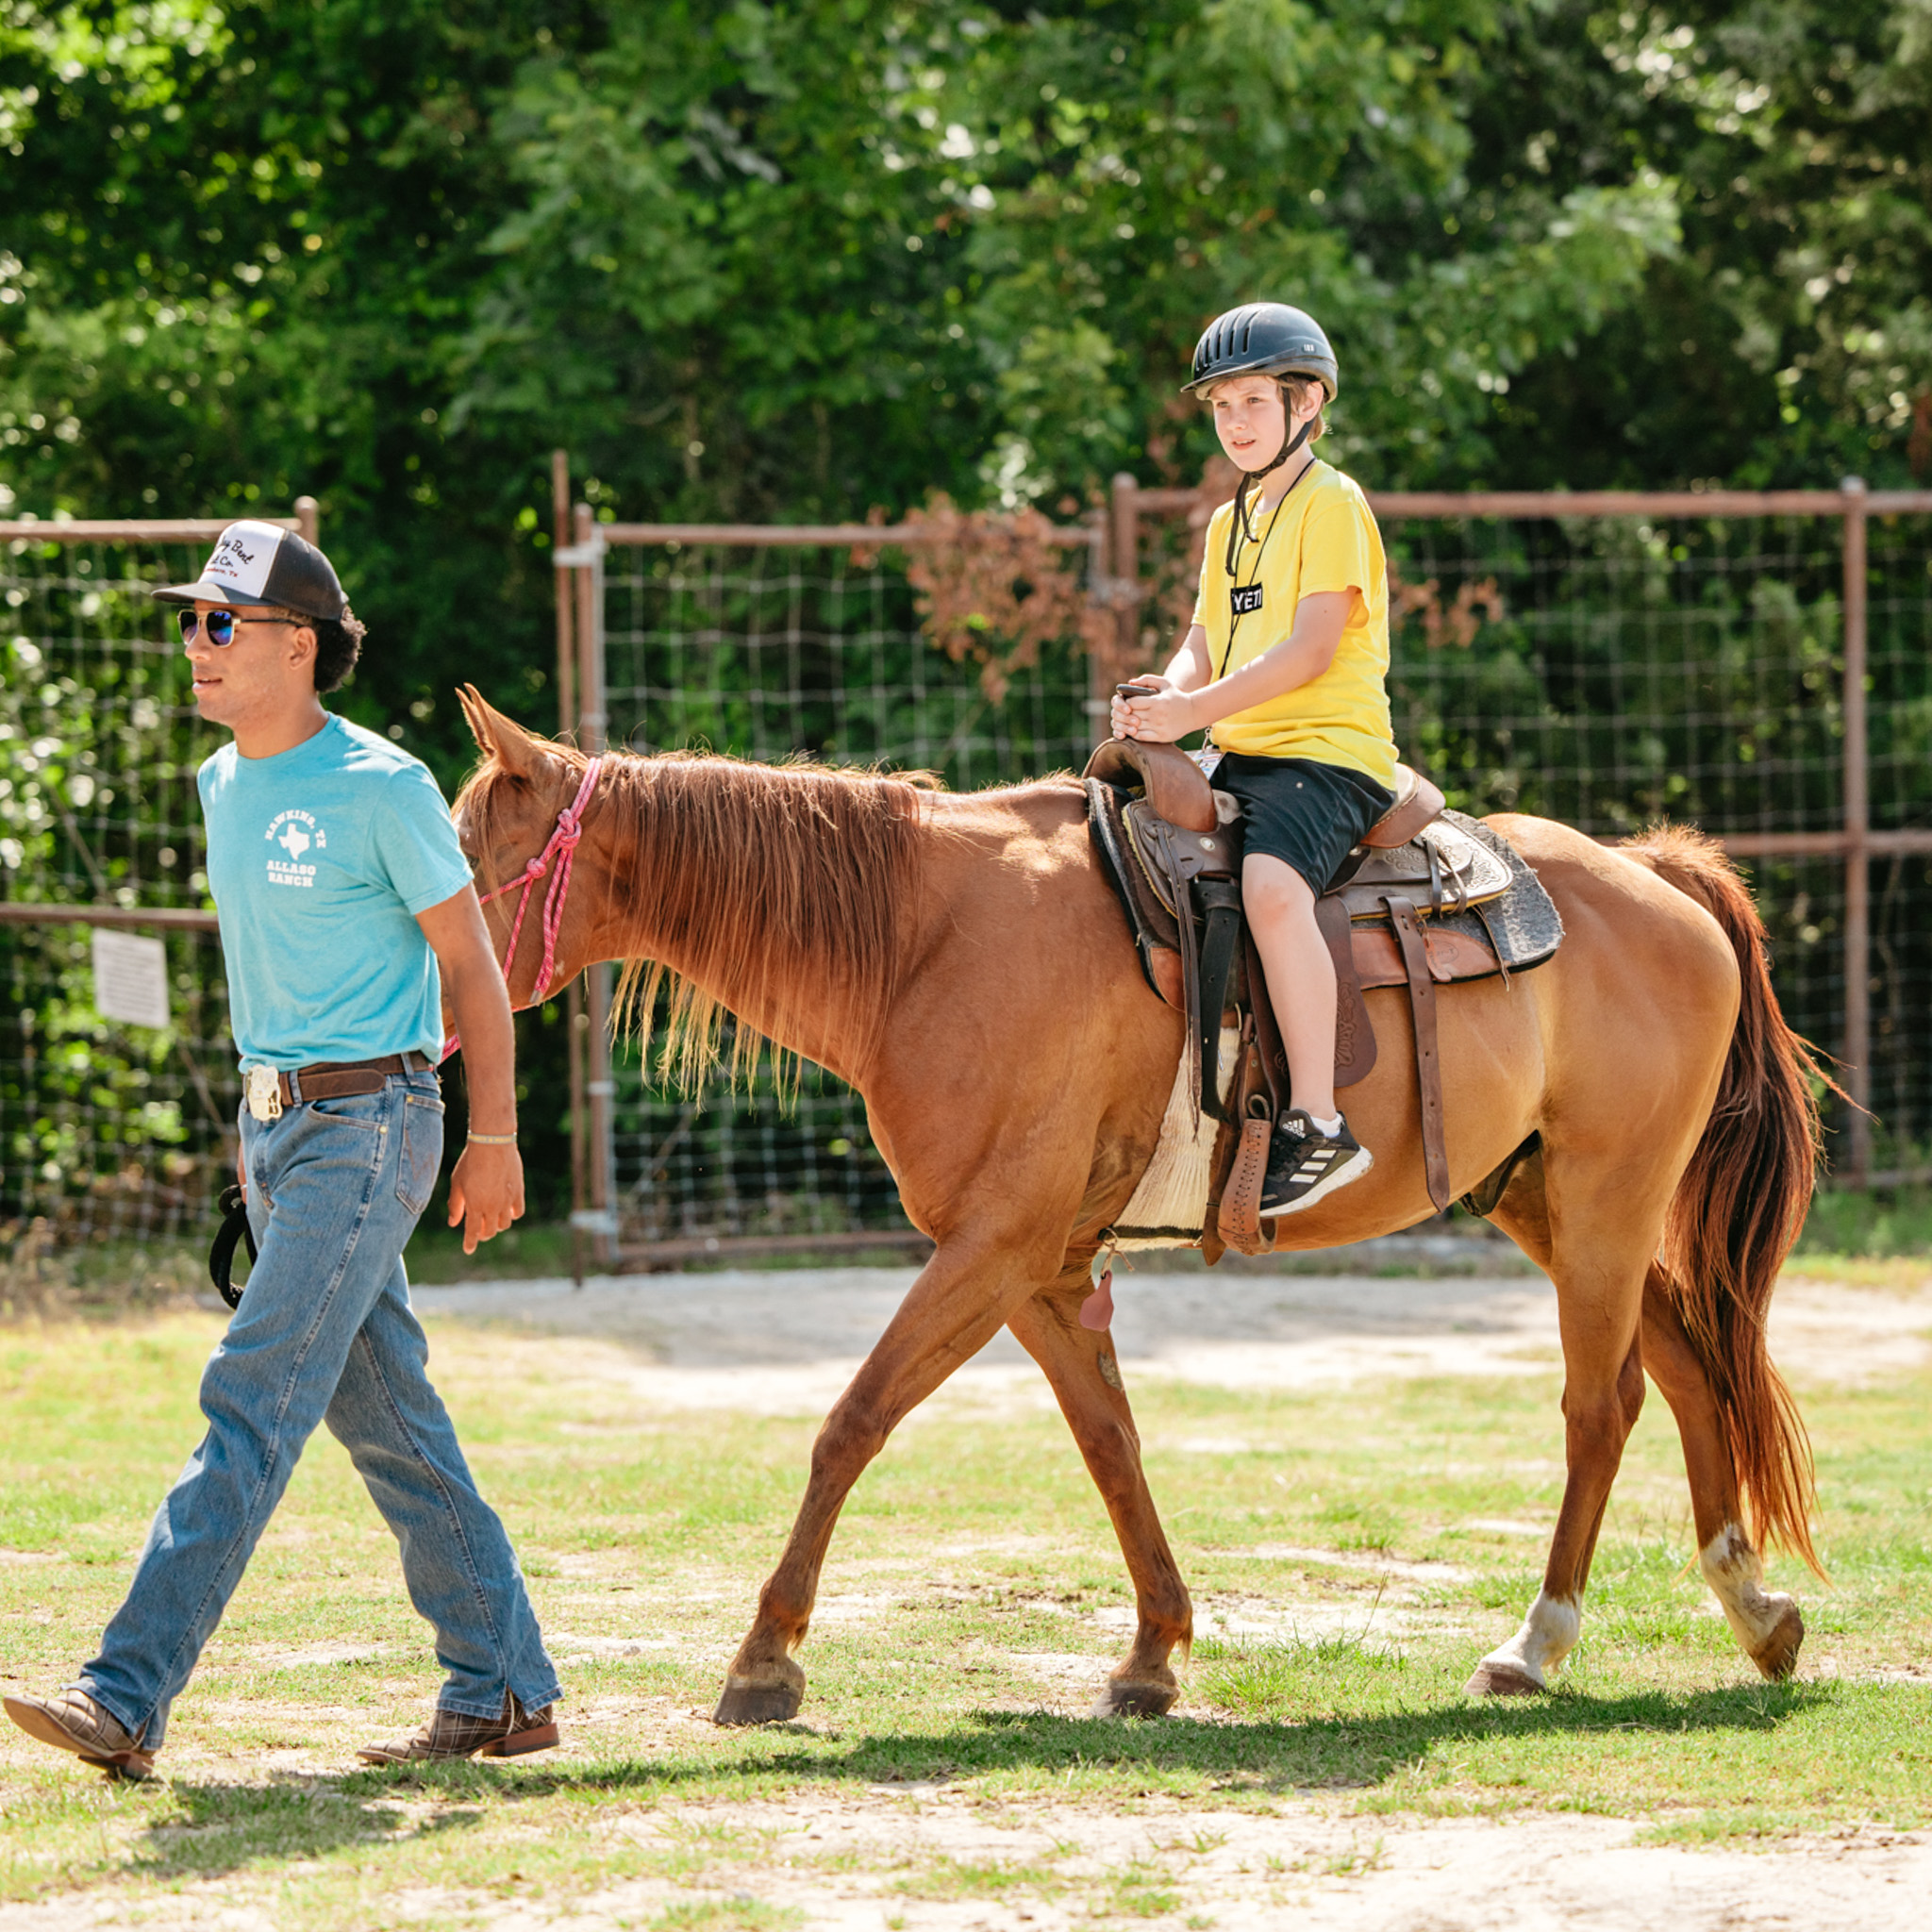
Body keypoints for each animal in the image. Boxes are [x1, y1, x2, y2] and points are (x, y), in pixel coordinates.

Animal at [449, 686, 1823, 1723]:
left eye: (466, 854)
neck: (924, 938)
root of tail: (1654, 878)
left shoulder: (989, 1248)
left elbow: (852, 1422)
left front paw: (764, 1658)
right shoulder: (1041, 1263)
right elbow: (1109, 1441)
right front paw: (1154, 1650)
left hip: (1603, 1201)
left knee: (1602, 1404)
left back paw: (1535, 1643)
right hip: (1544, 1199)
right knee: (1690, 1370)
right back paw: (1753, 1609)